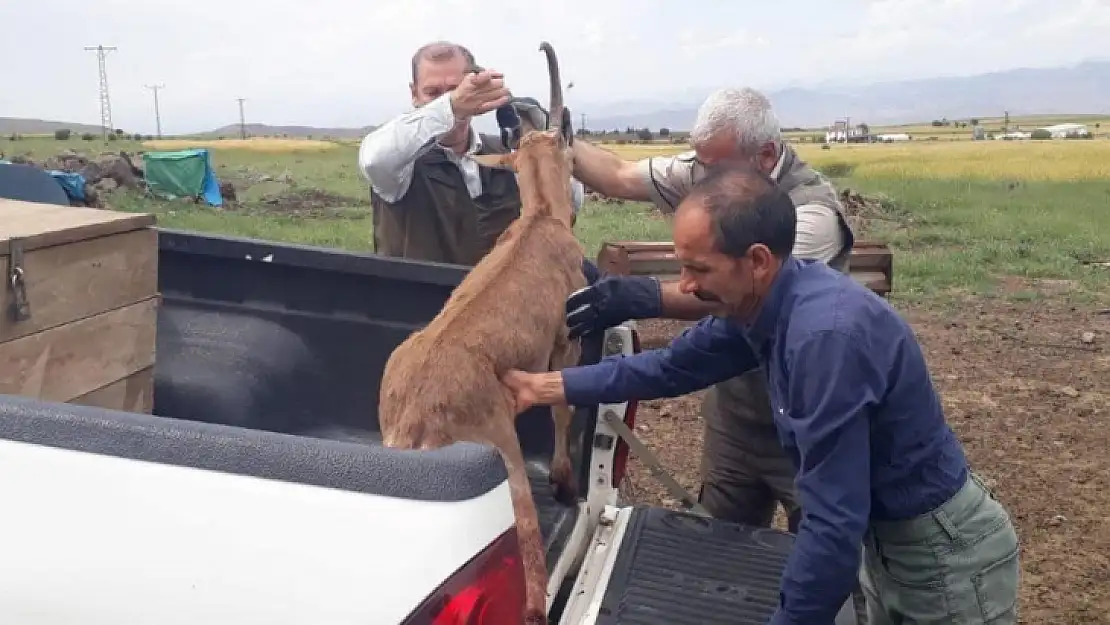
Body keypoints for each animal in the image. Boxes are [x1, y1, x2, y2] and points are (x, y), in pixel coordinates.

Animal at [377, 41, 581, 621]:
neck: (540, 220)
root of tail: (414, 424)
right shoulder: (565, 341)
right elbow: (562, 407)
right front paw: (565, 481)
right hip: (504, 454)